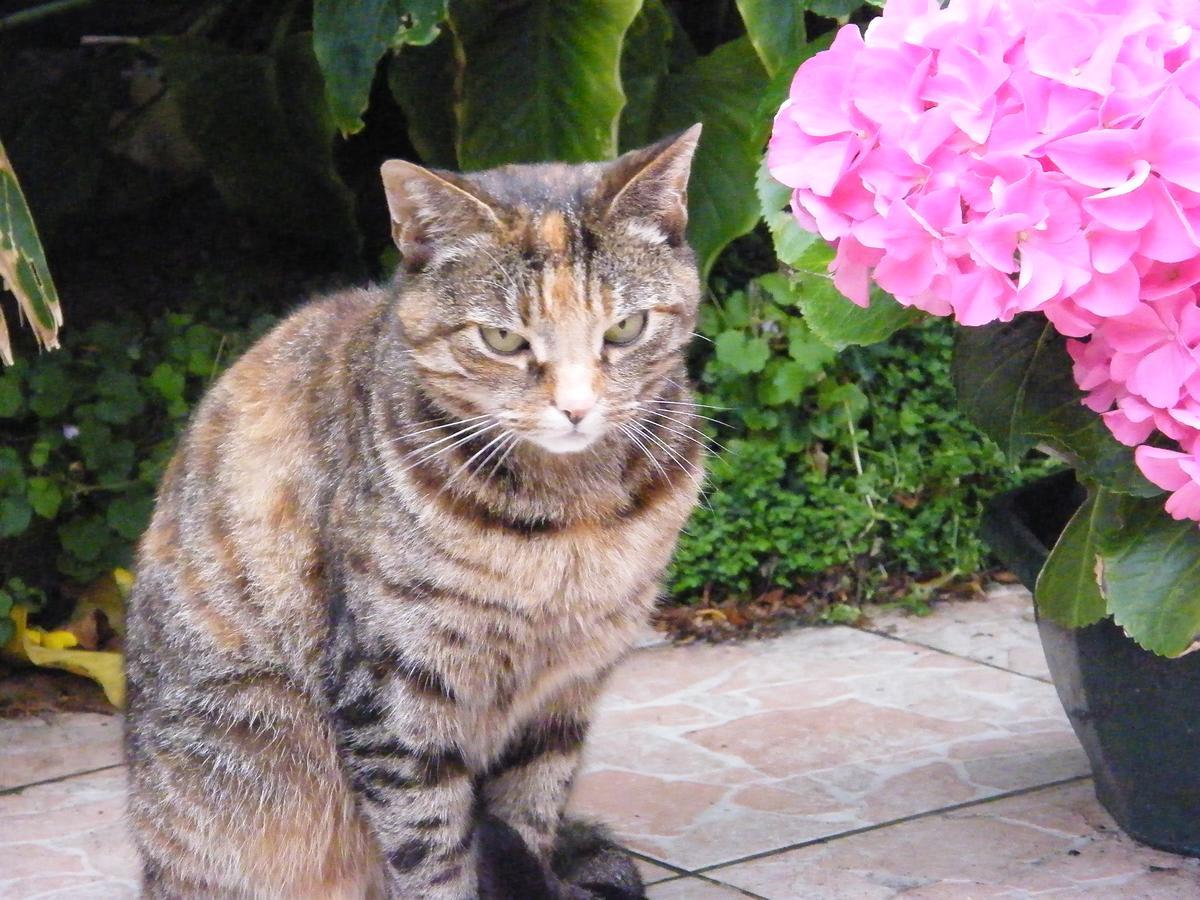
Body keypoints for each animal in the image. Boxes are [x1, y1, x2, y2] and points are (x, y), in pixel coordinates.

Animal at [124, 127, 700, 900]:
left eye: (626, 328)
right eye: (504, 340)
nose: (576, 407)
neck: (566, 517)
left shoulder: (561, 694)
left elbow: (529, 813)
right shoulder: (394, 692)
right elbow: (430, 848)